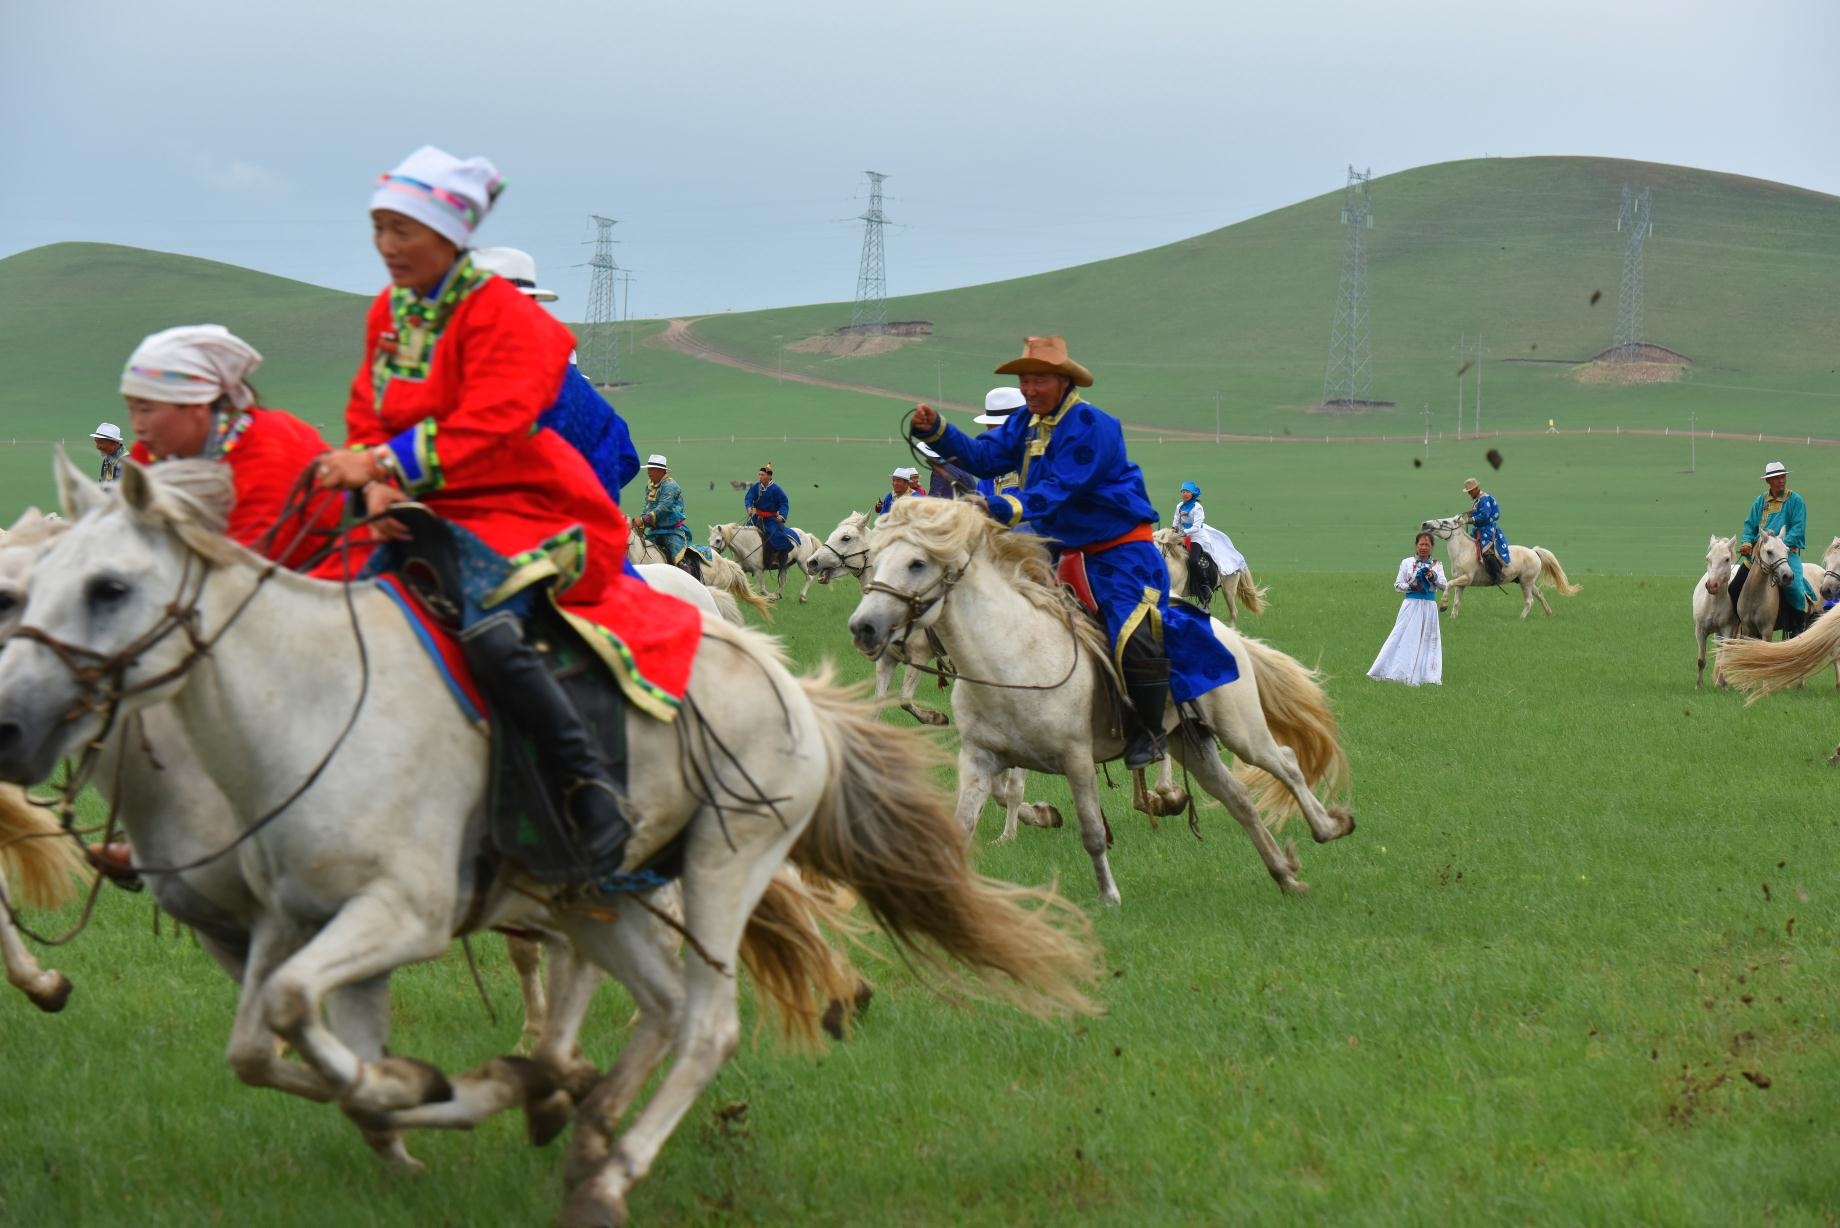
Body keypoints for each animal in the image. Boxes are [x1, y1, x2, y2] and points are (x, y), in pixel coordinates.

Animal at [0, 460, 1096, 1228]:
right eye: (29, 589)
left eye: (106, 587)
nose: (13, 722)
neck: (303, 701)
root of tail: (788, 691)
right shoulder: (280, 920)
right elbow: (271, 1038)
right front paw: (426, 1099)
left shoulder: (398, 910)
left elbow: (311, 1029)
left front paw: (419, 1095)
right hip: (603, 888)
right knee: (656, 1001)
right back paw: (566, 1114)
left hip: (717, 863)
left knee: (704, 1022)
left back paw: (601, 1167)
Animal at [846, 493, 1354, 909]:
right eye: (877, 556)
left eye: (916, 563)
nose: (863, 626)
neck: (1009, 651)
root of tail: (1229, 636)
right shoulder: (979, 757)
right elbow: (967, 821)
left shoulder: (1076, 758)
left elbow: (1091, 831)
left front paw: (1109, 896)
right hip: (1189, 743)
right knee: (1239, 799)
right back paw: (1284, 873)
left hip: (1241, 730)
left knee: (1285, 762)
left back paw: (1328, 827)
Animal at [1420, 515, 1582, 618]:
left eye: (1446, 522)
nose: (1425, 524)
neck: (1463, 551)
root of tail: (1534, 552)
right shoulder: (1461, 583)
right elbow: (1457, 601)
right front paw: (1453, 617)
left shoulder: (1466, 578)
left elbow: (1448, 585)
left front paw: (1443, 606)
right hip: (1529, 583)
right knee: (1540, 596)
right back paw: (1549, 614)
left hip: (1525, 583)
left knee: (1529, 601)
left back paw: (1521, 618)